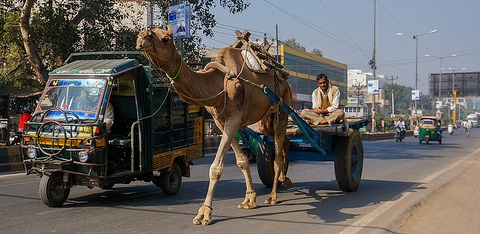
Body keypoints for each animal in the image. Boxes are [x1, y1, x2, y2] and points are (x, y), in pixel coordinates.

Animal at [135, 25, 292, 225]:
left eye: (165, 38)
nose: (142, 36)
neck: (217, 84)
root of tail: (283, 78)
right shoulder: (220, 120)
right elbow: (242, 160)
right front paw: (249, 199)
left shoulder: (234, 118)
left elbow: (215, 168)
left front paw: (204, 213)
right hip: (265, 119)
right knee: (282, 142)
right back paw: (284, 180)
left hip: (282, 107)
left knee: (278, 154)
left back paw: (273, 196)